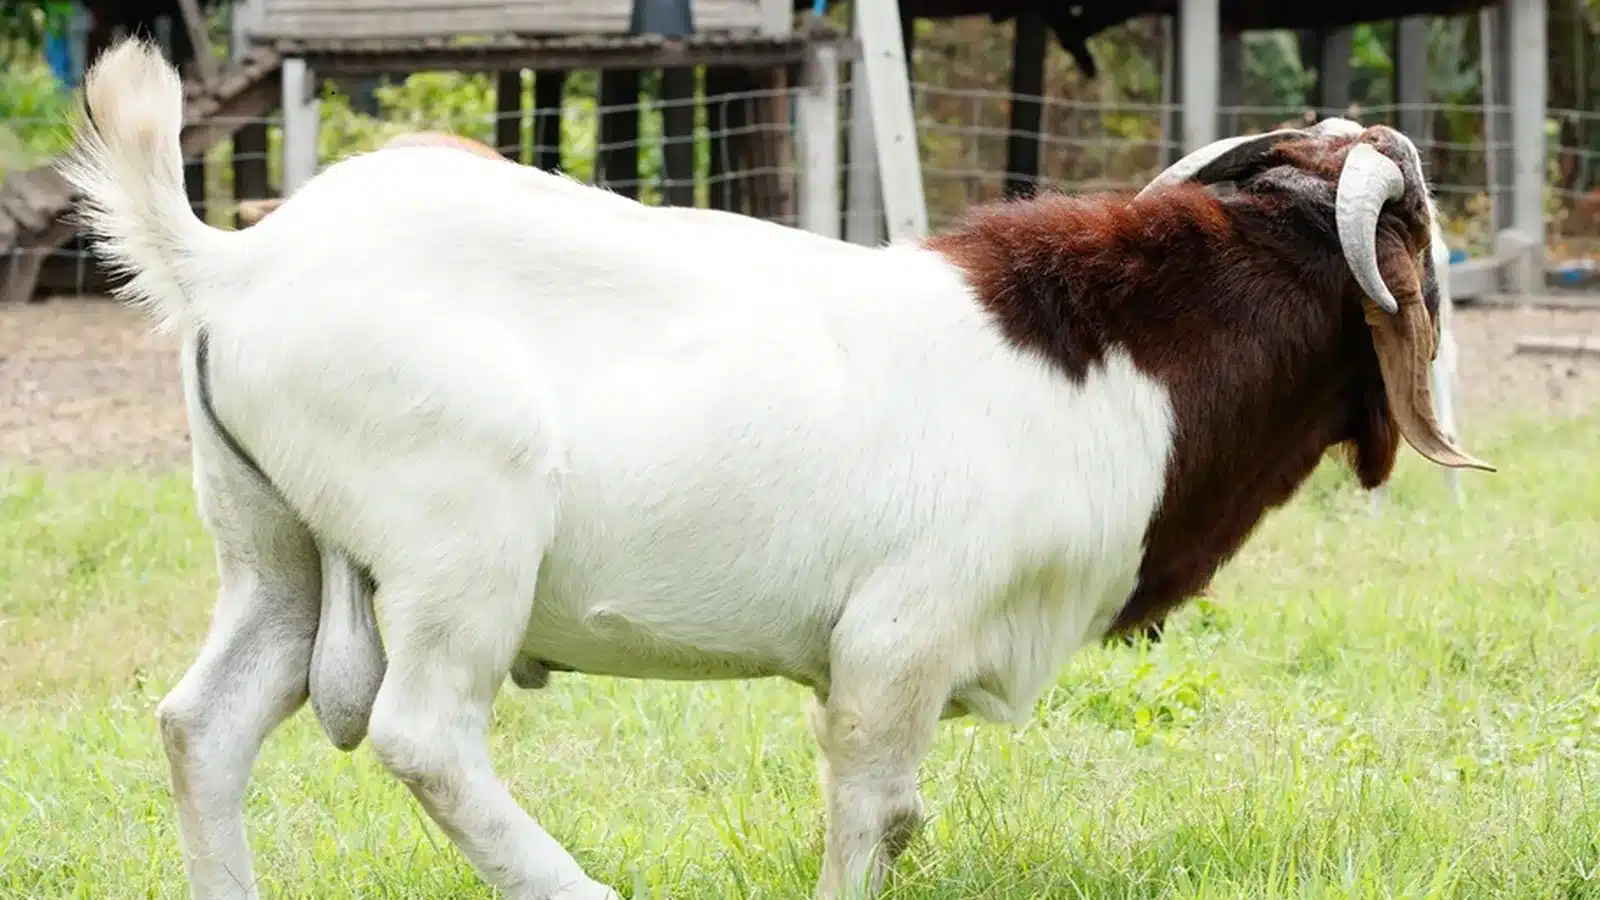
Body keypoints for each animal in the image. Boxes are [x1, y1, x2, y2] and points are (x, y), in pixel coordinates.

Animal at [63, 39, 1493, 900]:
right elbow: (873, 815)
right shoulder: (897, 637)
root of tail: (232, 263)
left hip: (274, 549)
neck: (1109, 354)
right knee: (424, 735)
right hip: (458, 541)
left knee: (204, 725)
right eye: (1415, 240)